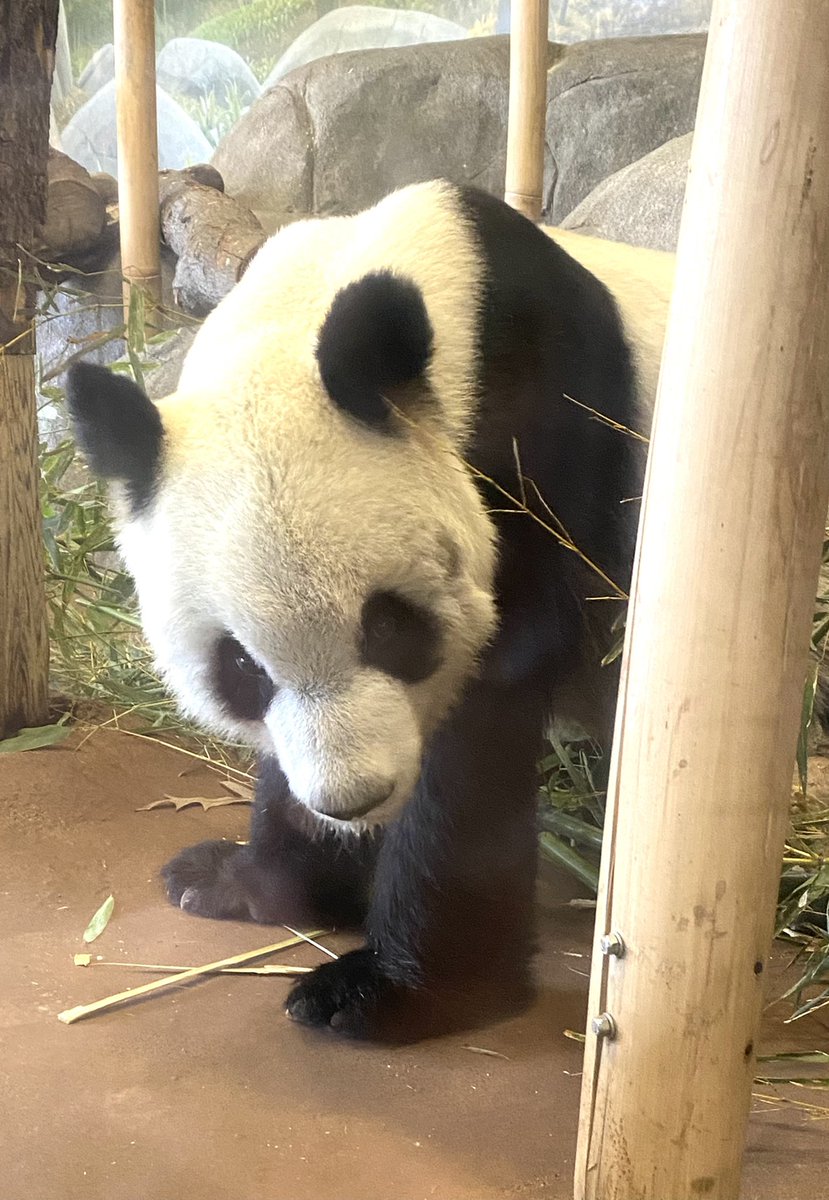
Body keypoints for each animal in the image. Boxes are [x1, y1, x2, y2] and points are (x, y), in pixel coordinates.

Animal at [67, 180, 674, 1040]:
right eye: (241, 668)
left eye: (388, 627)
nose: (351, 800)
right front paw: (247, 880)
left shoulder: (543, 436)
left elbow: (487, 708)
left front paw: (388, 991)